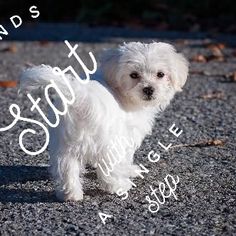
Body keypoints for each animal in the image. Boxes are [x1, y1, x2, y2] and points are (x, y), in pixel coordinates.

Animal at [19, 41, 188, 200]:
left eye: (161, 74)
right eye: (134, 75)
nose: (149, 89)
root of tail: (81, 98)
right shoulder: (126, 135)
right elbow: (126, 157)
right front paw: (130, 170)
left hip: (64, 143)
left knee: (65, 167)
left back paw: (70, 194)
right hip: (108, 142)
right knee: (108, 169)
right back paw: (119, 186)